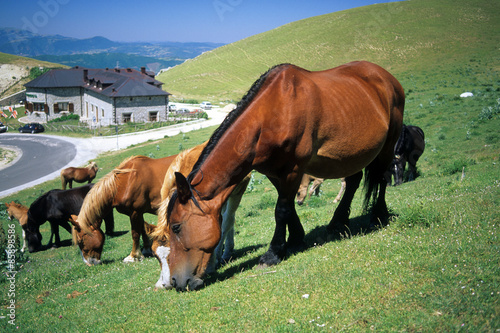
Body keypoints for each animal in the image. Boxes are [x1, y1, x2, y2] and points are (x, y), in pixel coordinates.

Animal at [160, 61, 406, 290]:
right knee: (353, 182)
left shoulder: (293, 169)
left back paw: (378, 216)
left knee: (381, 179)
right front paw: (296, 239)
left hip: (388, 144)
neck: (272, 112)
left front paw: (273, 253)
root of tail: (387, 77)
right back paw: (338, 223)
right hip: (350, 154)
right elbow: (289, 207)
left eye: (176, 227)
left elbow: (281, 210)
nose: (176, 281)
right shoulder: (274, 172)